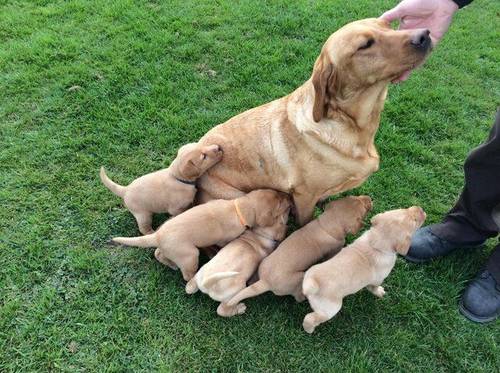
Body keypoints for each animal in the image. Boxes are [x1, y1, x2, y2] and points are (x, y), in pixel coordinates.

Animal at [109, 189, 290, 280]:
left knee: (158, 253)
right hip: (189, 254)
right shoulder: (226, 238)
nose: (288, 196)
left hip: (171, 248)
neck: (237, 208)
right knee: (186, 275)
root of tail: (157, 236)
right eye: (281, 203)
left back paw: (172, 265)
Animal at [195, 18, 430, 224]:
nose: (425, 34)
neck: (352, 126)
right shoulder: (304, 195)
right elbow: (305, 222)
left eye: (388, 26)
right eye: (365, 45)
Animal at [227, 195, 372, 310]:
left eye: (355, 197)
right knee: (297, 296)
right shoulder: (335, 249)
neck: (326, 224)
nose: (369, 198)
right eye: (364, 209)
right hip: (299, 278)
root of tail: (265, 282)